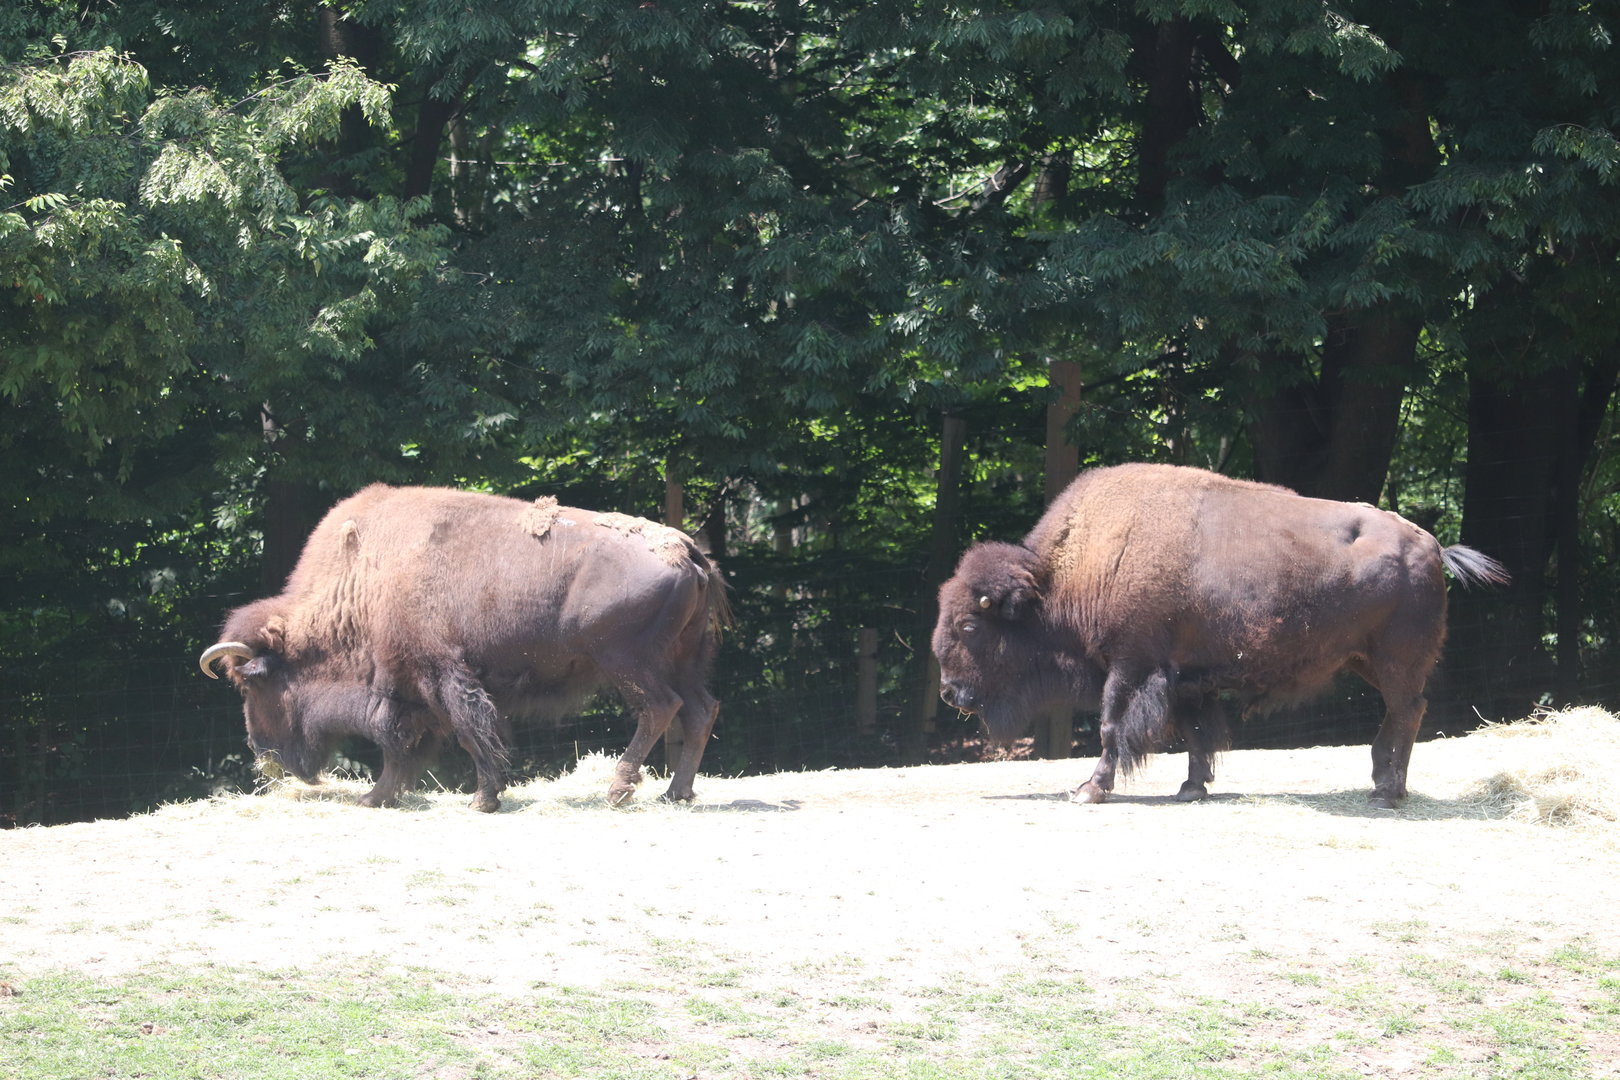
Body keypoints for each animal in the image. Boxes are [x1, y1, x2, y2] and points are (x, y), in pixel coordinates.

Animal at [200, 484, 728, 811]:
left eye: (252, 686)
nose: (261, 751)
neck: (364, 581)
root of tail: (687, 550)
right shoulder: (415, 687)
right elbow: (409, 744)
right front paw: (377, 797)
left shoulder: (436, 675)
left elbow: (454, 733)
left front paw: (482, 799)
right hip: (681, 660)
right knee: (701, 708)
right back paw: (676, 793)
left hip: (627, 663)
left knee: (660, 708)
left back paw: (618, 791)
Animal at [932, 463, 1508, 809]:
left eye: (968, 625)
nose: (949, 692)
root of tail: (1430, 544)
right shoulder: (1187, 679)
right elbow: (1196, 734)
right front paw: (1191, 788)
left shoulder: (1131, 666)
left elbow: (1112, 726)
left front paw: (1089, 790)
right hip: (1364, 660)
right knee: (1399, 712)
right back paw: (1380, 783)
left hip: (1397, 661)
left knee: (1408, 711)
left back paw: (1388, 793)